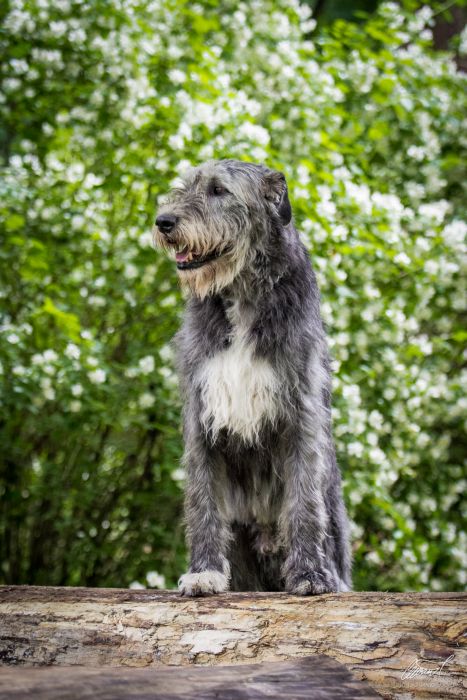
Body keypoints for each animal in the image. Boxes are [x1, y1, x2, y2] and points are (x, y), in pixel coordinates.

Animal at [154, 159, 352, 596]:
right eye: (185, 186)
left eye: (218, 190)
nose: (164, 221)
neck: (242, 292)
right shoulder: (200, 414)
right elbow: (202, 501)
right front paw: (204, 571)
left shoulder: (302, 412)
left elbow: (303, 502)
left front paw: (310, 575)